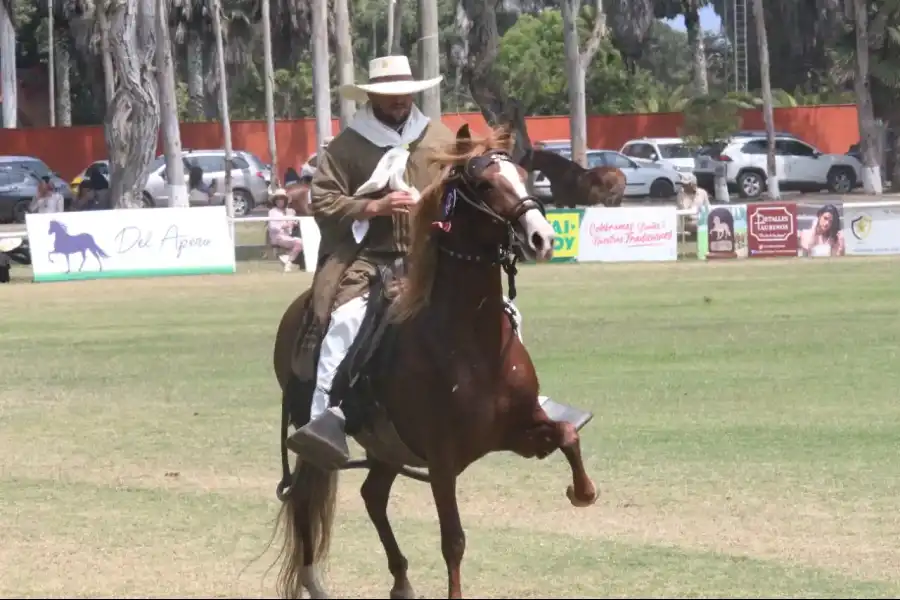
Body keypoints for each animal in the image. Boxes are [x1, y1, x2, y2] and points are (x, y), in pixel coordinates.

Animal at [274, 124, 596, 596]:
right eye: (485, 184)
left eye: (523, 175)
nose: (543, 237)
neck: (474, 346)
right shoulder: (443, 463)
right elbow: (453, 542)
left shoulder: (519, 432)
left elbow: (567, 435)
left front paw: (583, 491)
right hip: (317, 438)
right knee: (303, 494)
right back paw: (314, 580)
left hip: (387, 447)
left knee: (373, 495)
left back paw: (401, 581)